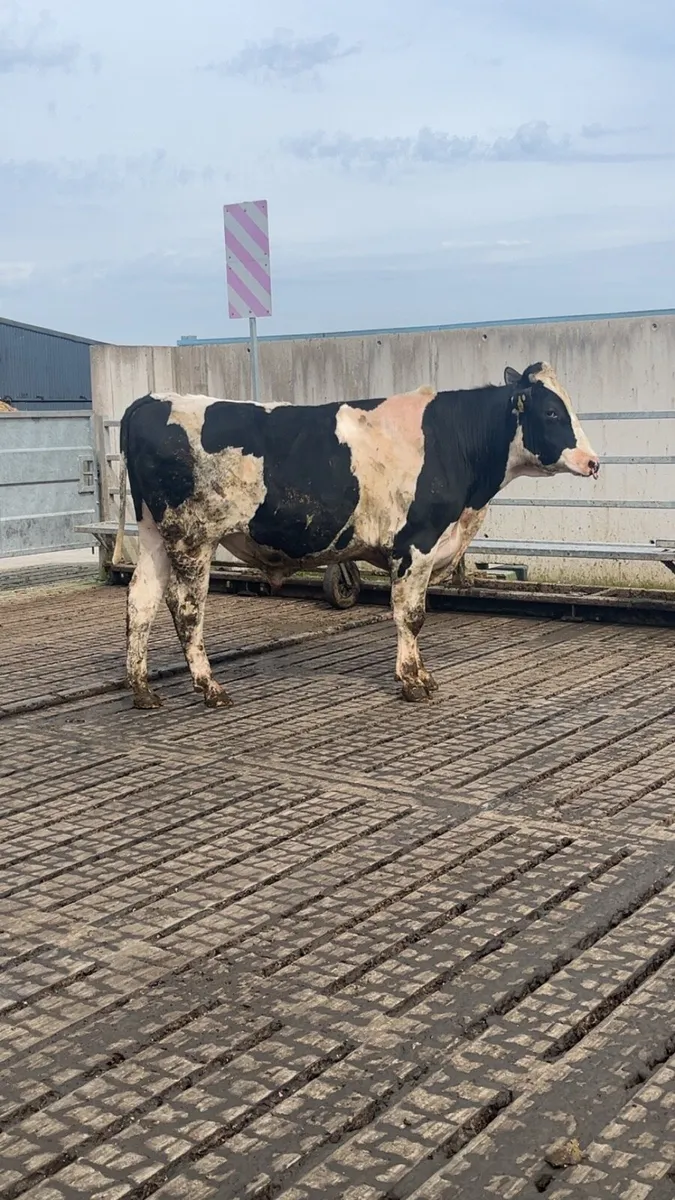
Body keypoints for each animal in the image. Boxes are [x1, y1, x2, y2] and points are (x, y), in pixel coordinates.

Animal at [114, 361, 599, 709]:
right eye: (552, 411)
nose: (594, 462)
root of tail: (152, 400)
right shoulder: (416, 542)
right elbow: (411, 616)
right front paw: (412, 681)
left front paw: (422, 675)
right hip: (192, 537)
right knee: (186, 609)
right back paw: (210, 688)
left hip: (154, 532)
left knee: (141, 600)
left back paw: (143, 690)